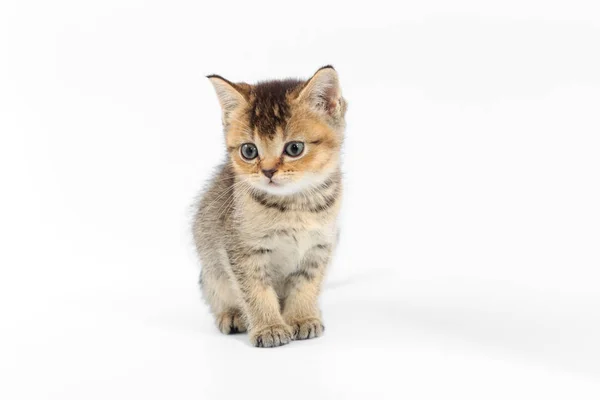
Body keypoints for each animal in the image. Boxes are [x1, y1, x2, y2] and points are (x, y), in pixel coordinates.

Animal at [193, 65, 346, 346]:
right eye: (249, 151)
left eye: (294, 148)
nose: (267, 171)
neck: (294, 207)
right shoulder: (242, 250)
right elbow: (256, 292)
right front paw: (269, 327)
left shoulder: (319, 248)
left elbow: (305, 286)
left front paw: (301, 318)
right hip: (211, 272)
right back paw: (231, 315)